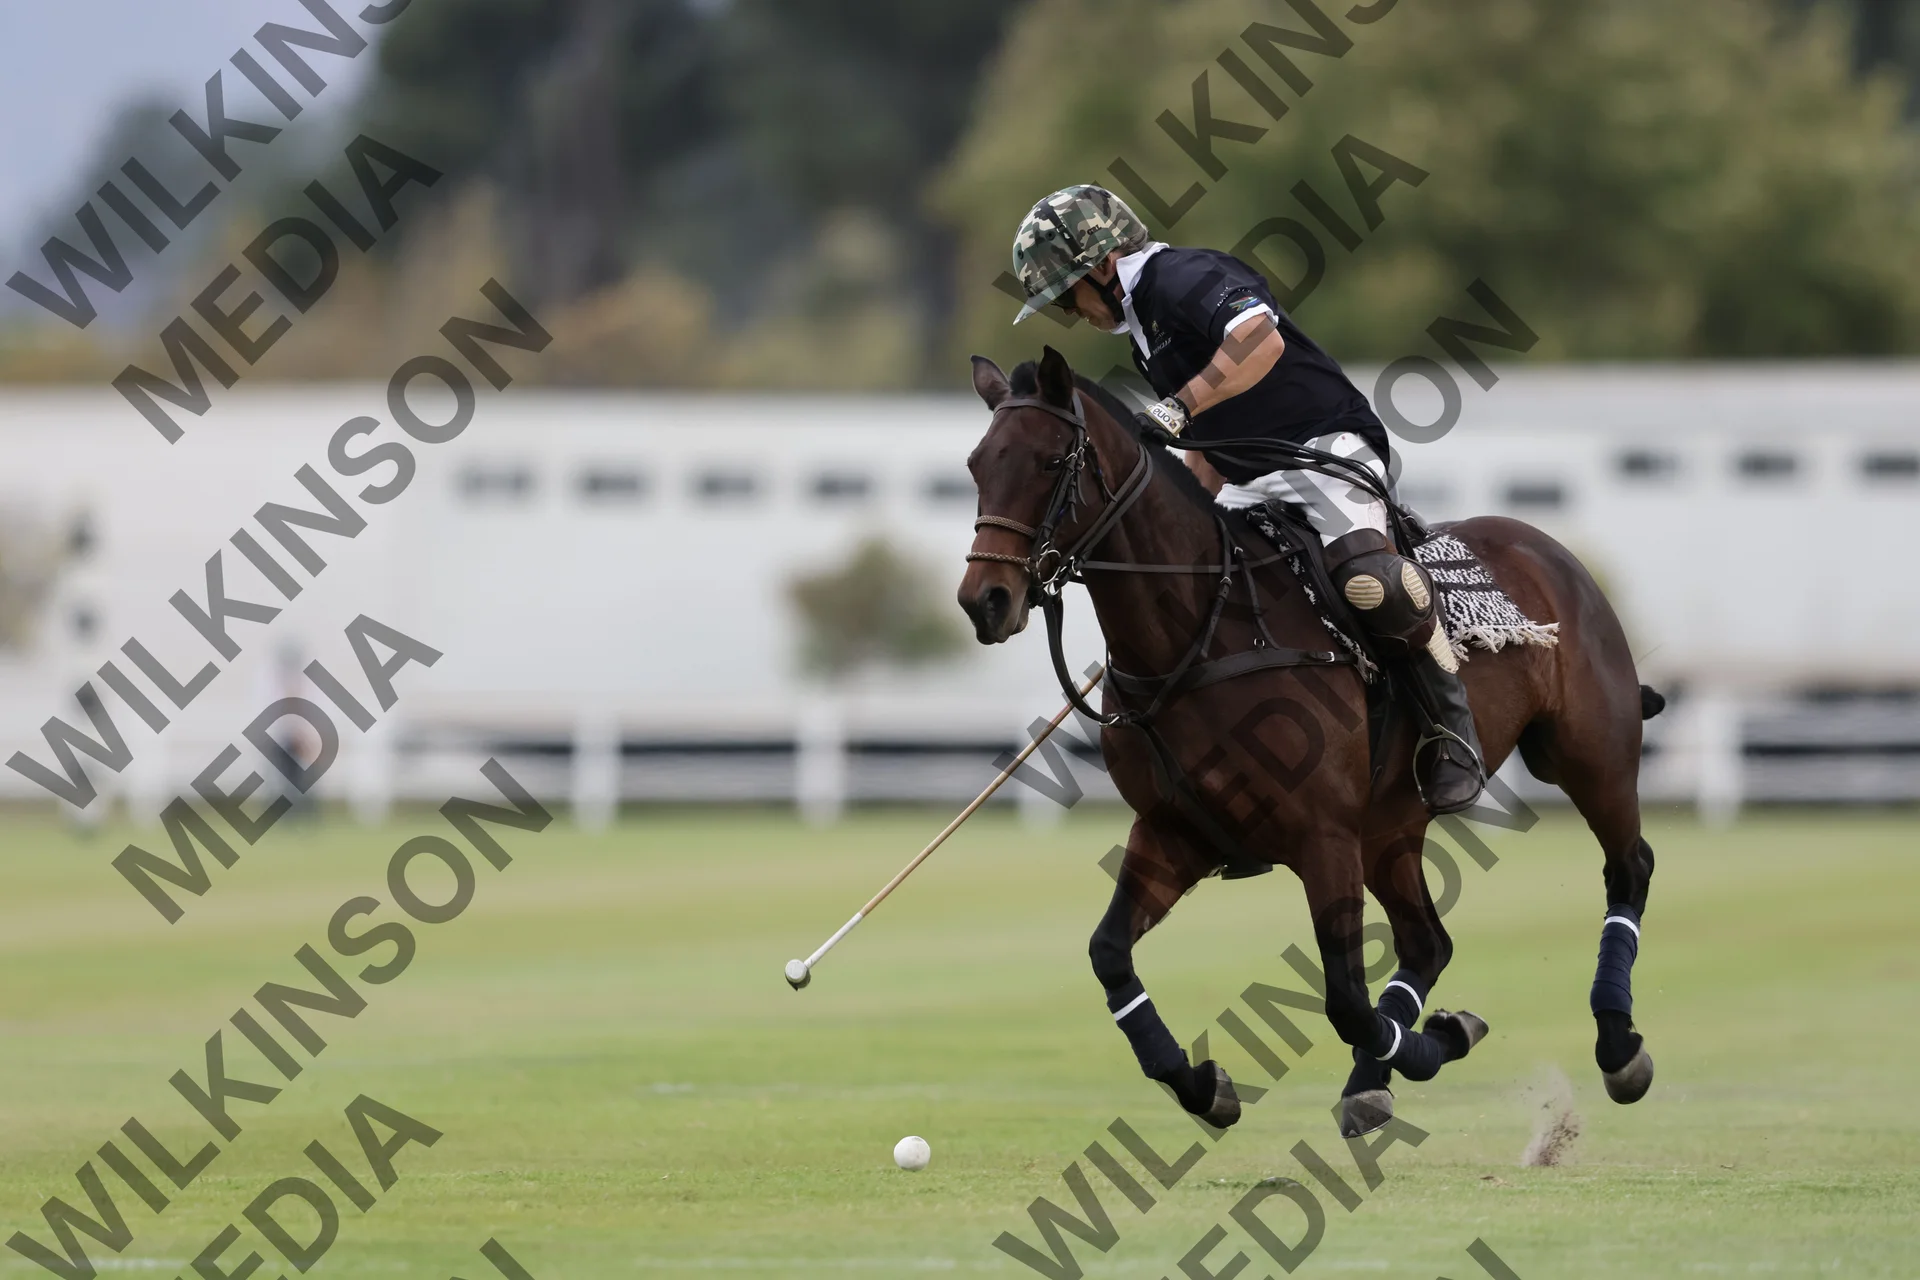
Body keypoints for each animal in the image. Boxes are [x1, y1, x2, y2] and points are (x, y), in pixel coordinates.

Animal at [956, 346, 1659, 1137]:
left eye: (1050, 461)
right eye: (976, 463)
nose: (985, 601)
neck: (1198, 633)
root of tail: (1546, 546)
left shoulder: (1322, 836)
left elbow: (1345, 1000)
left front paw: (1440, 1039)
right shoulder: (1174, 832)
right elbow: (1109, 954)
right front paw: (1204, 1086)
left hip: (1591, 755)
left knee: (1628, 866)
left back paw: (1617, 1046)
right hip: (1389, 826)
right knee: (1427, 942)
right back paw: (1374, 1080)